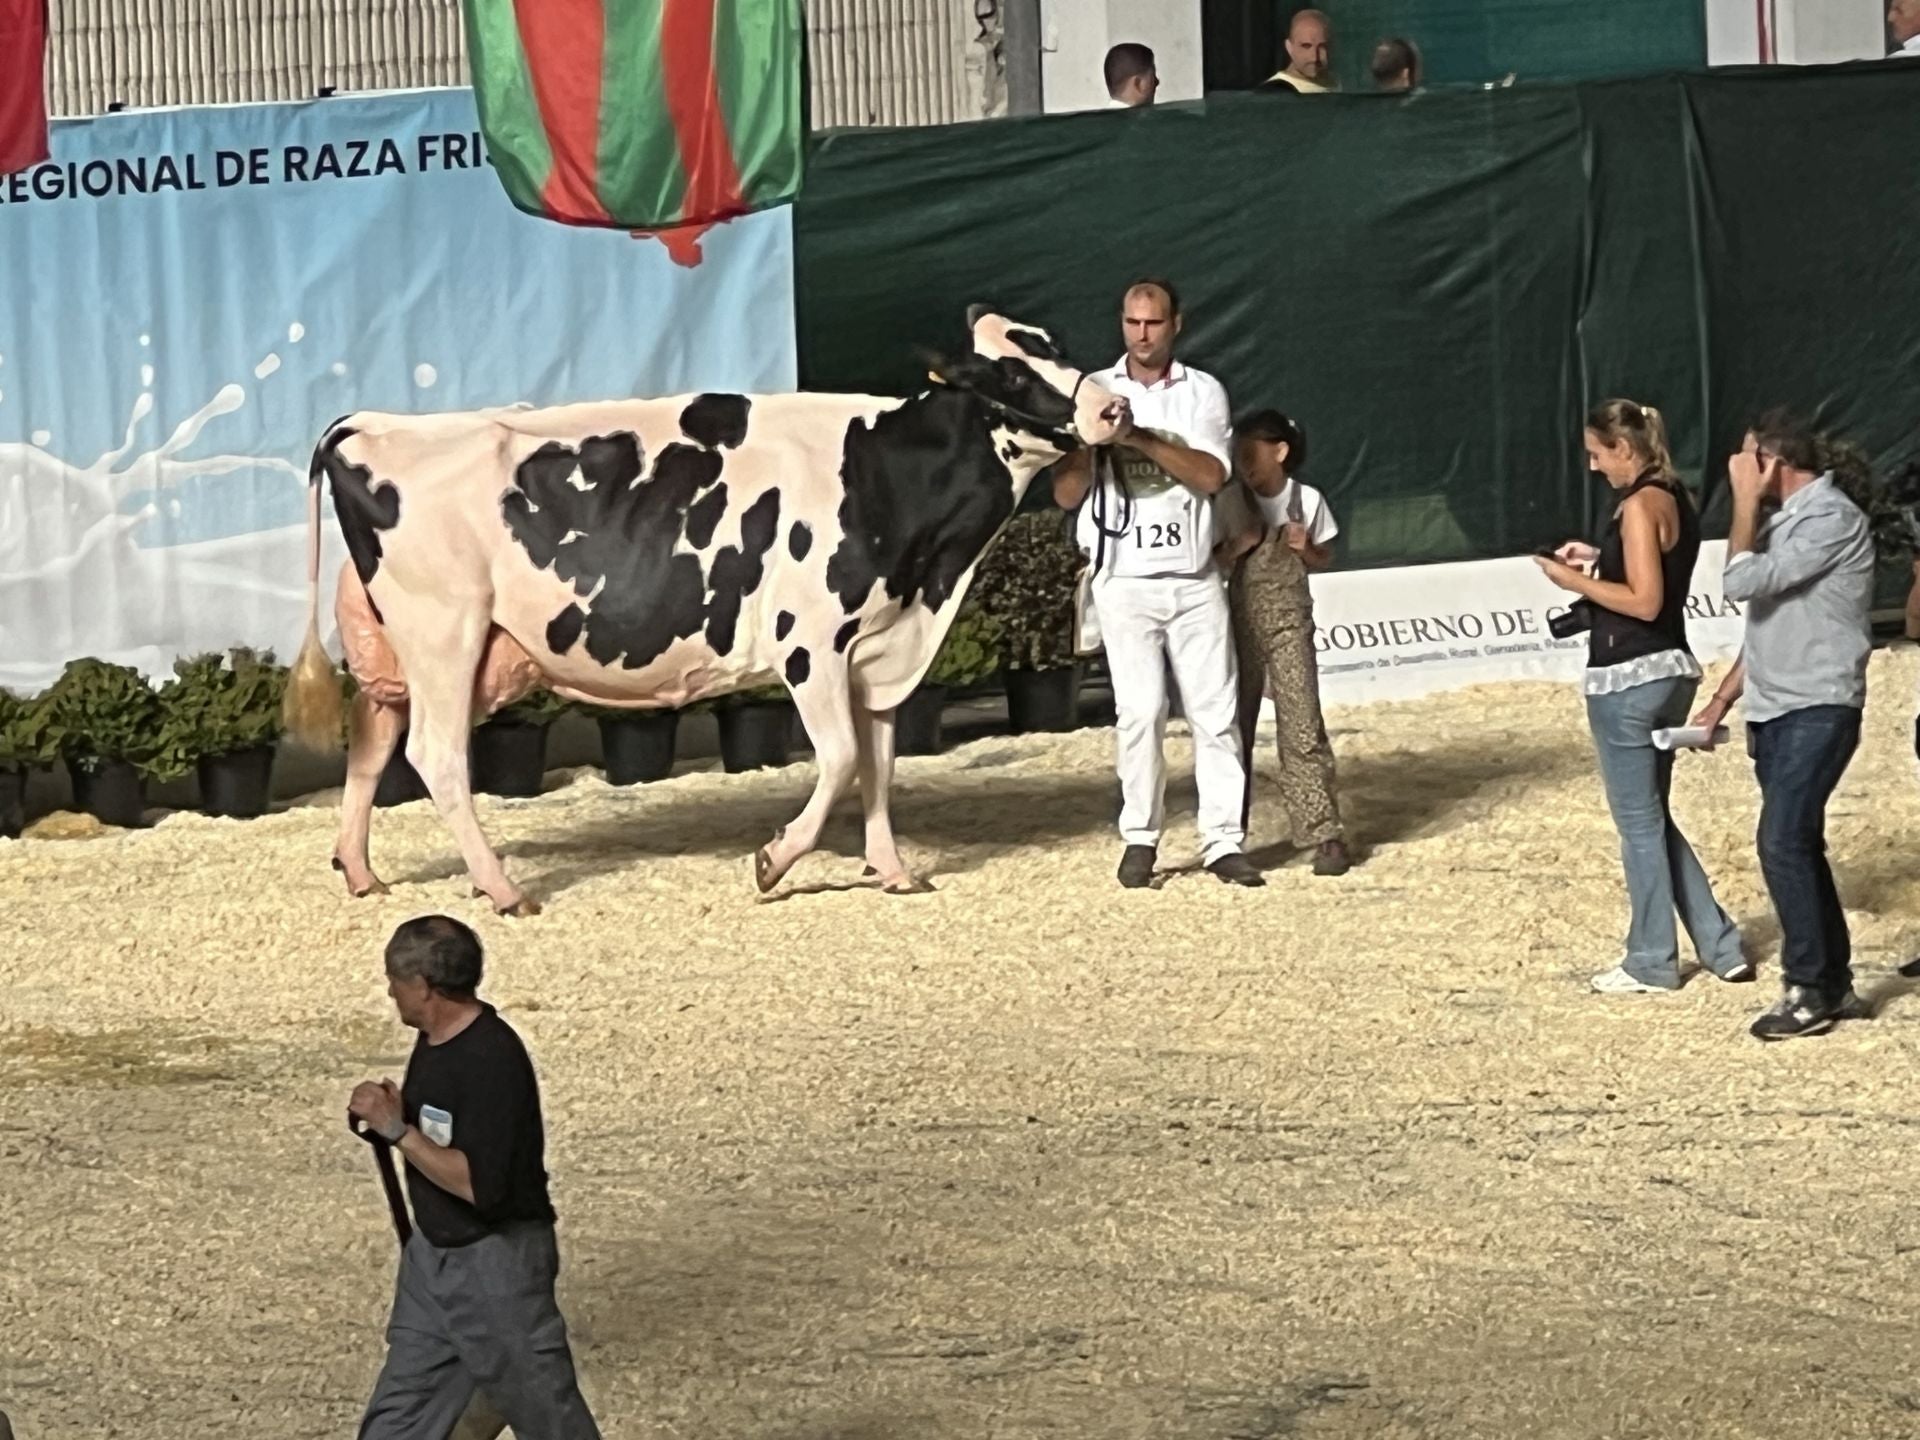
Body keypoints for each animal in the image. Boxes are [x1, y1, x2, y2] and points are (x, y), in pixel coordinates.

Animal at [281, 308, 1130, 914]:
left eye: (1054, 343)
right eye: (1012, 376)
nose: (1115, 407)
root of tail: (371, 425)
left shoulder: (879, 649)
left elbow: (881, 764)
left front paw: (890, 869)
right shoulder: (811, 645)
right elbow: (842, 760)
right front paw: (774, 860)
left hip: (400, 648)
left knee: (371, 741)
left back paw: (361, 872)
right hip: (445, 635)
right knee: (436, 756)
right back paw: (503, 888)